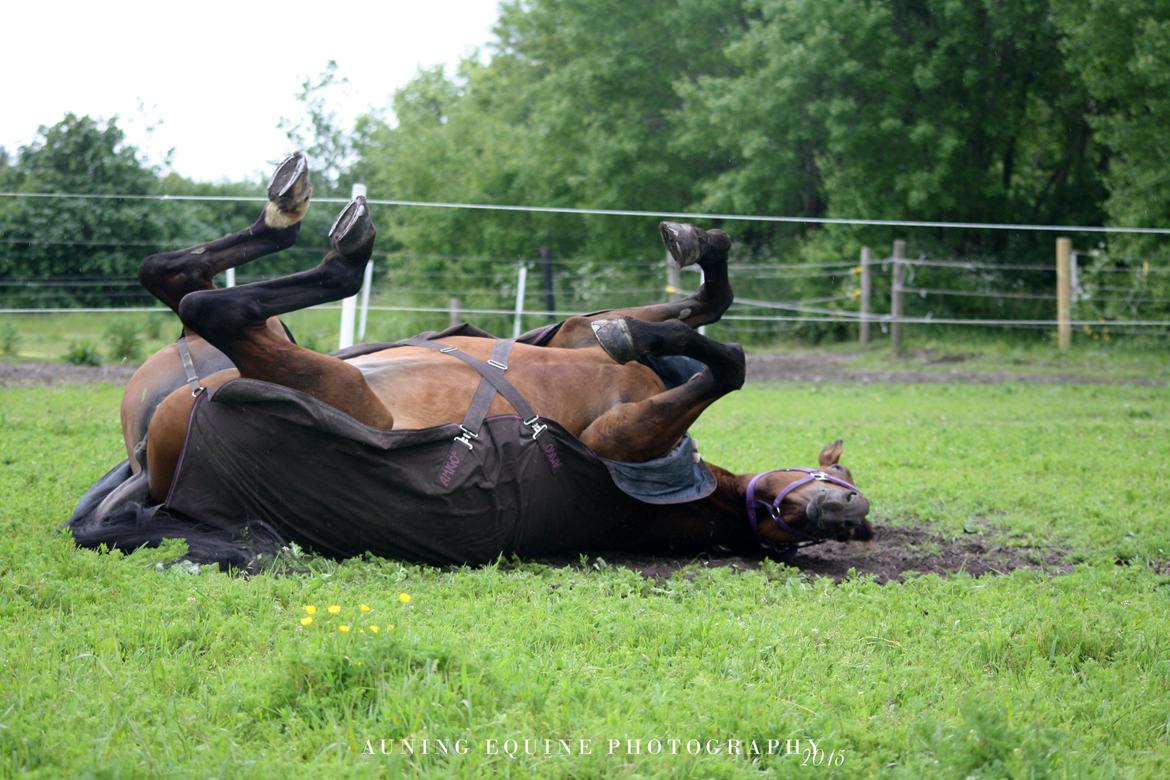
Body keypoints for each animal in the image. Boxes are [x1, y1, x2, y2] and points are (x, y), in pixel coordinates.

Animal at [64, 152, 870, 570]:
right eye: (841, 478)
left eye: (844, 512)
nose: (846, 512)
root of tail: (152, 465)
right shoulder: (575, 336)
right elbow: (703, 311)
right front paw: (692, 262)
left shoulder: (615, 439)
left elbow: (729, 361)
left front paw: (657, 338)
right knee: (172, 279)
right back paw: (291, 207)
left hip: (332, 382)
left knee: (212, 305)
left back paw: (334, 240)